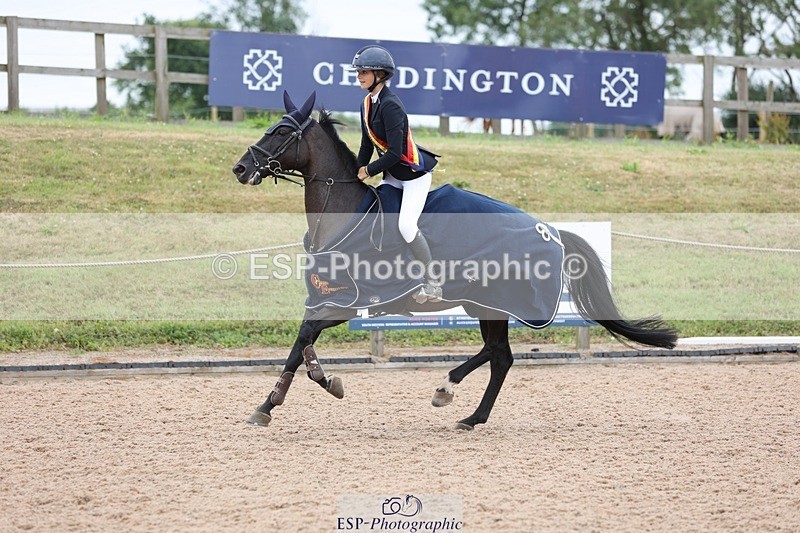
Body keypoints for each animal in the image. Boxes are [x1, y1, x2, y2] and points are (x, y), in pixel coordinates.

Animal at [232, 91, 678, 431]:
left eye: (282, 132)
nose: (240, 168)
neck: (344, 211)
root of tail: (549, 230)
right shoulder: (327, 297)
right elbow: (299, 343)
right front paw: (268, 406)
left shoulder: (352, 301)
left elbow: (306, 336)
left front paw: (322, 383)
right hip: (481, 303)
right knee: (497, 354)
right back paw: (459, 402)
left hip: (495, 301)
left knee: (500, 356)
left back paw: (457, 400)